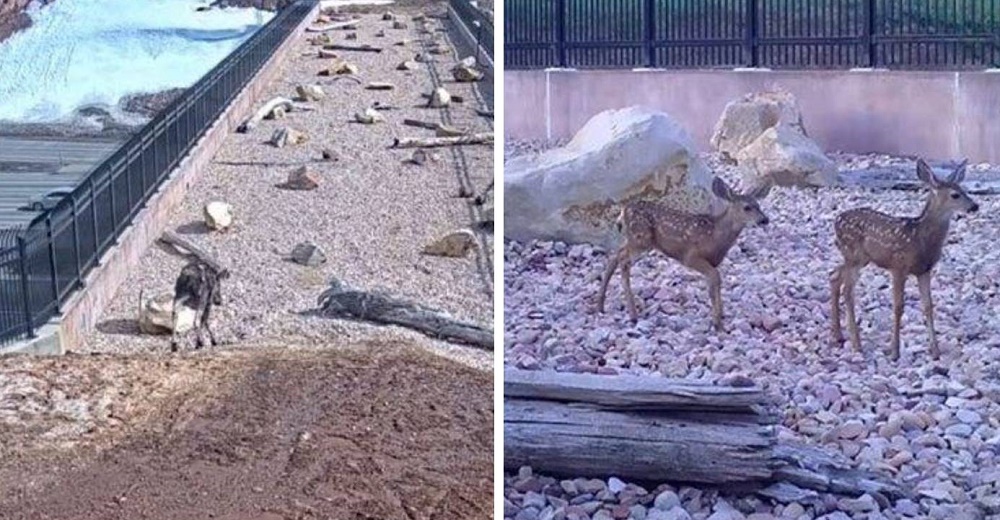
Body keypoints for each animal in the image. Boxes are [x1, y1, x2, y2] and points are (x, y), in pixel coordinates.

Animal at [592, 176, 772, 330]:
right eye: (747, 207)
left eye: (759, 205)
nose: (765, 220)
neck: (715, 235)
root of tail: (623, 211)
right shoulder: (690, 256)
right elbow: (715, 278)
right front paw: (717, 323)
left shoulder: (712, 261)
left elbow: (714, 283)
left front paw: (720, 317)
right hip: (641, 238)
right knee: (623, 259)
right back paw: (632, 314)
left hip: (634, 239)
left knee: (615, 256)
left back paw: (601, 306)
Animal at [828, 158, 976, 362]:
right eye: (955, 195)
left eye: (965, 190)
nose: (974, 206)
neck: (920, 238)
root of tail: (836, 220)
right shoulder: (898, 266)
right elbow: (898, 306)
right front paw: (895, 352)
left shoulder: (925, 270)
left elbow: (928, 306)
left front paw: (935, 351)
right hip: (853, 255)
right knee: (848, 291)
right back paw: (857, 344)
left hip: (858, 258)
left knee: (834, 276)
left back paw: (838, 336)